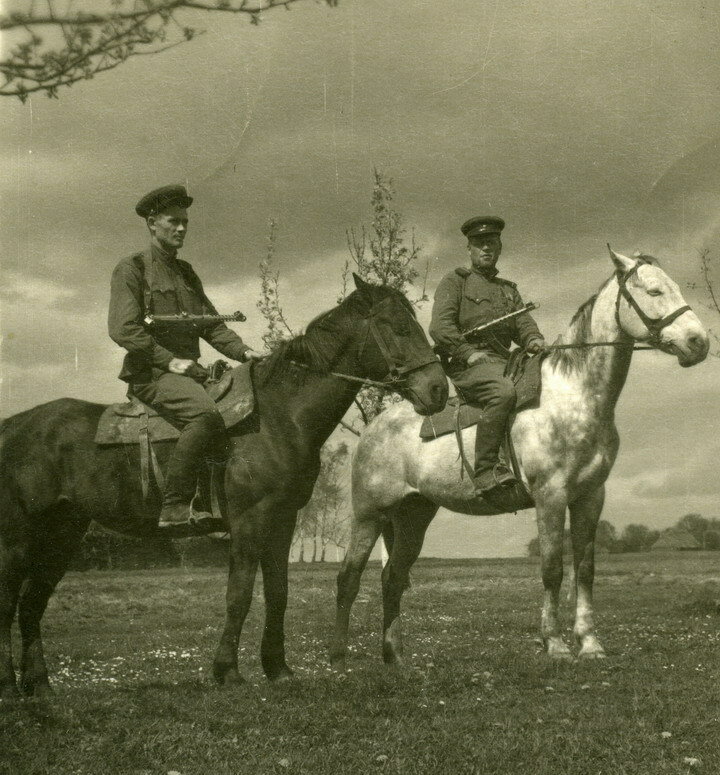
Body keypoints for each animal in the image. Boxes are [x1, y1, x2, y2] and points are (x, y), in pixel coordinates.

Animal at [0, 276, 448, 700]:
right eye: (396, 326)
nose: (438, 389)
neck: (279, 417)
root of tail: (13, 426)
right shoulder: (249, 522)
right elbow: (240, 594)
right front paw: (228, 671)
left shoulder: (281, 522)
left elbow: (278, 592)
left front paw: (278, 669)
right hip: (18, 541)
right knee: (8, 599)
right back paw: (9, 686)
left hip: (61, 537)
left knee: (32, 604)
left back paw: (40, 684)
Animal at [334, 249, 708, 668]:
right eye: (655, 290)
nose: (699, 342)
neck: (574, 397)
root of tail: (373, 427)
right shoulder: (550, 495)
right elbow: (552, 569)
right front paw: (555, 645)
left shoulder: (590, 497)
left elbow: (586, 570)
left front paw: (590, 644)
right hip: (370, 514)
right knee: (349, 577)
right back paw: (338, 657)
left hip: (413, 516)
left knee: (393, 578)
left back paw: (395, 656)